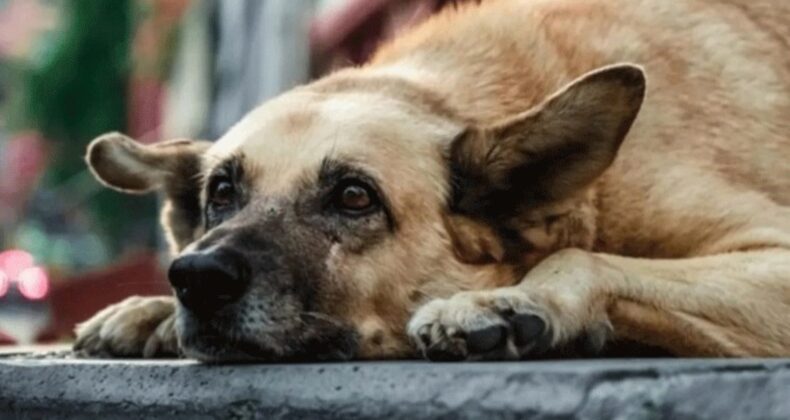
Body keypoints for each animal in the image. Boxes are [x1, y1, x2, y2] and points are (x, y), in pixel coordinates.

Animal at [72, 0, 790, 360]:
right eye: (221, 193)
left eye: (354, 196)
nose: (196, 278)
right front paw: (151, 312)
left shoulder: (775, 256)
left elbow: (581, 257)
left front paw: (509, 301)